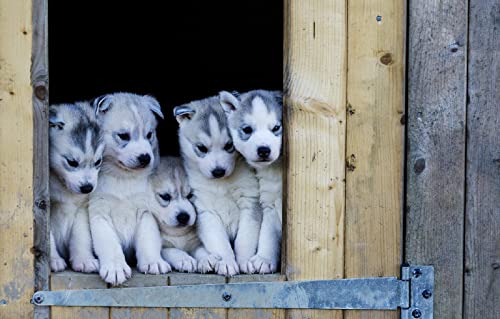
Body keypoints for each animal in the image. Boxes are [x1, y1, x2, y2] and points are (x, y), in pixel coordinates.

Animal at [48, 102, 104, 272]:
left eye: (98, 161)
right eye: (72, 162)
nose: (87, 188)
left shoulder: (82, 208)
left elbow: (81, 235)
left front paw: (84, 259)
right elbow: (48, 237)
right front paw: (53, 260)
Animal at [89, 92, 169, 284]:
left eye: (149, 135)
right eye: (123, 136)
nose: (145, 158)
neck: (122, 178)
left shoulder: (145, 211)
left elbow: (148, 238)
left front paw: (153, 261)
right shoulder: (98, 212)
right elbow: (109, 242)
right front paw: (115, 268)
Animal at [174, 95, 262, 278]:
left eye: (229, 145)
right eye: (201, 148)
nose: (218, 171)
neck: (222, 184)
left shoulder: (250, 201)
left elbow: (245, 239)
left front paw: (244, 261)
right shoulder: (205, 209)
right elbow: (220, 242)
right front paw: (227, 262)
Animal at [221, 90, 284, 276]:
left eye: (276, 128)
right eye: (247, 129)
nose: (264, 150)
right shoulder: (269, 202)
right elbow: (268, 234)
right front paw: (264, 259)